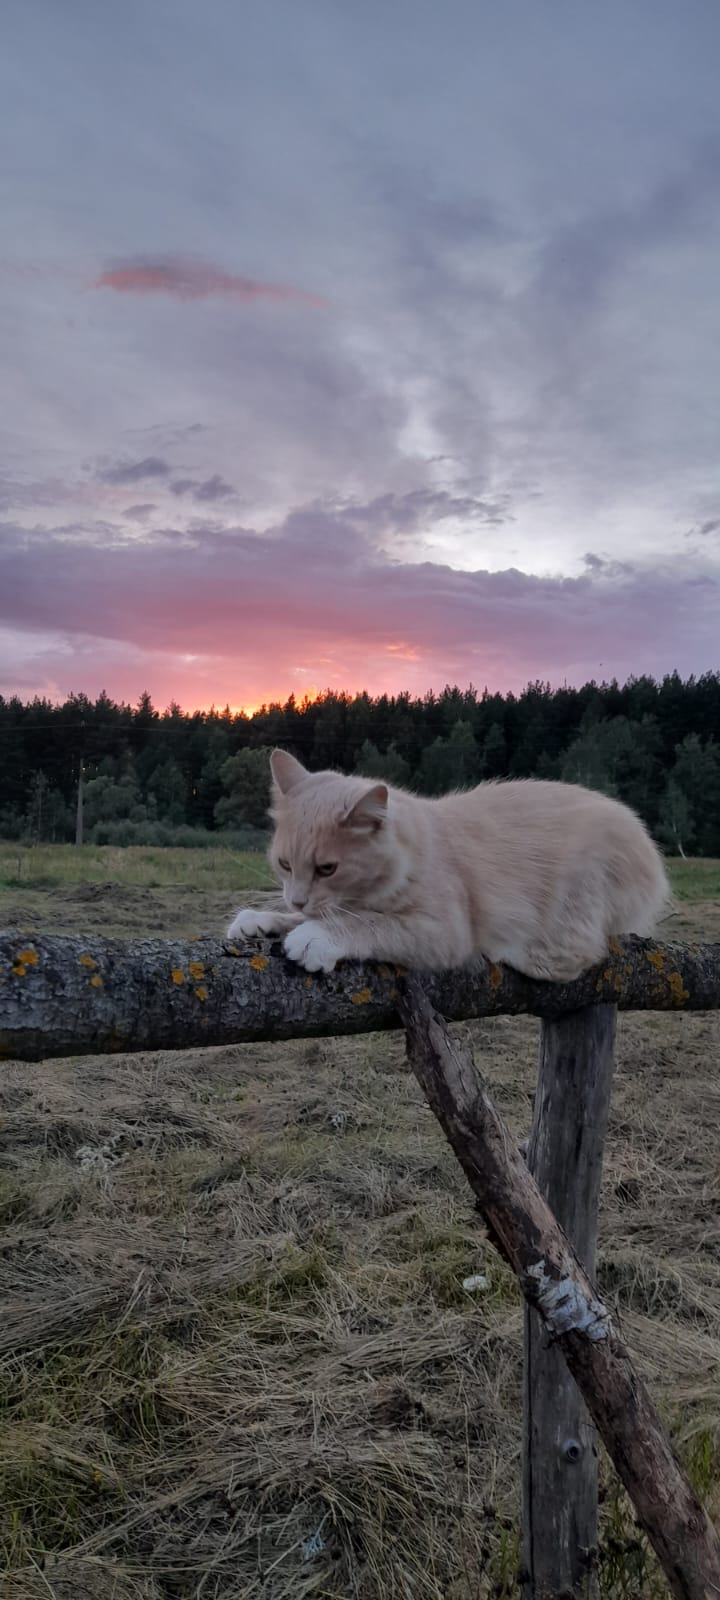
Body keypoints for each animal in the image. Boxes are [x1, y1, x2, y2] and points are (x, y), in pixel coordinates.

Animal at [227, 745, 672, 979]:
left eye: (327, 869)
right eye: (285, 864)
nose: (297, 898)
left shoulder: (443, 929)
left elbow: (367, 924)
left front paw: (315, 936)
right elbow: (308, 916)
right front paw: (260, 920)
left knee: (577, 954)